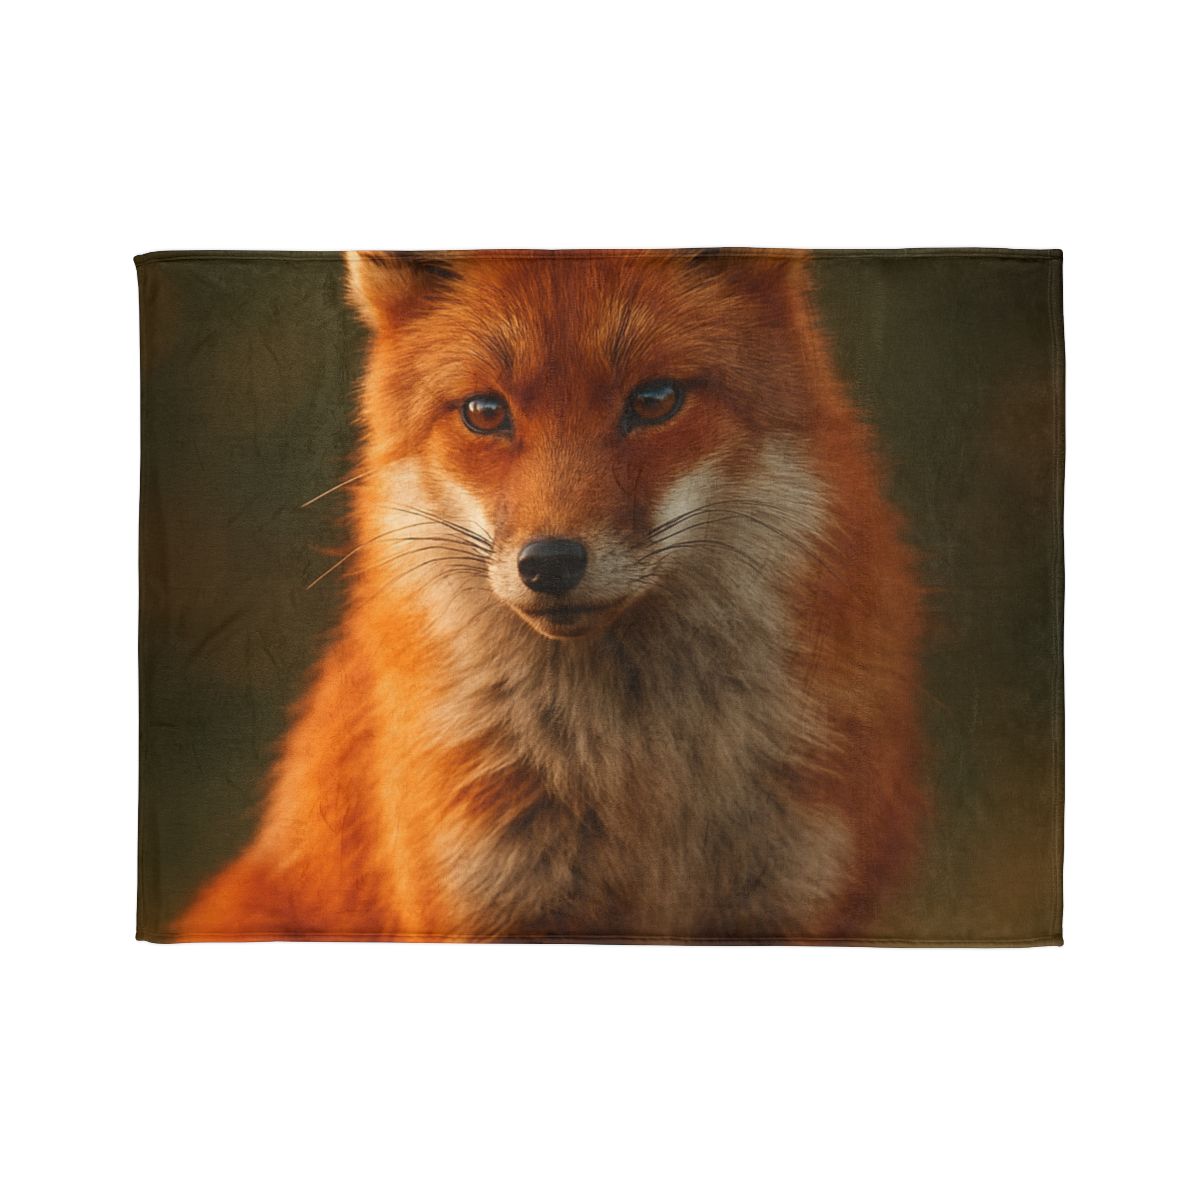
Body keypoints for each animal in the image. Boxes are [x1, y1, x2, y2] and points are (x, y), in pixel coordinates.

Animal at [177, 248, 924, 942]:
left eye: (654, 400)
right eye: (485, 412)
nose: (550, 564)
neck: (637, 775)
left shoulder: (790, 901)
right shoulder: (487, 899)